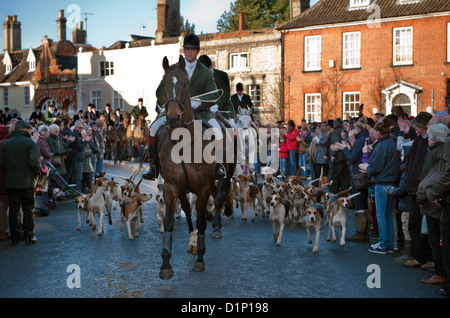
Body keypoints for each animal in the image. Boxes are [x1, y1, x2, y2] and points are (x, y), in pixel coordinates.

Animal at [156, 56, 236, 280]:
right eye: (163, 85)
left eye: (185, 85)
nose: (173, 118)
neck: (182, 142)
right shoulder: (172, 187)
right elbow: (170, 222)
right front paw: (166, 263)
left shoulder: (202, 189)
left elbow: (201, 220)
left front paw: (200, 258)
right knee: (188, 207)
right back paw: (192, 239)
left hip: (226, 174)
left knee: (220, 196)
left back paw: (217, 224)